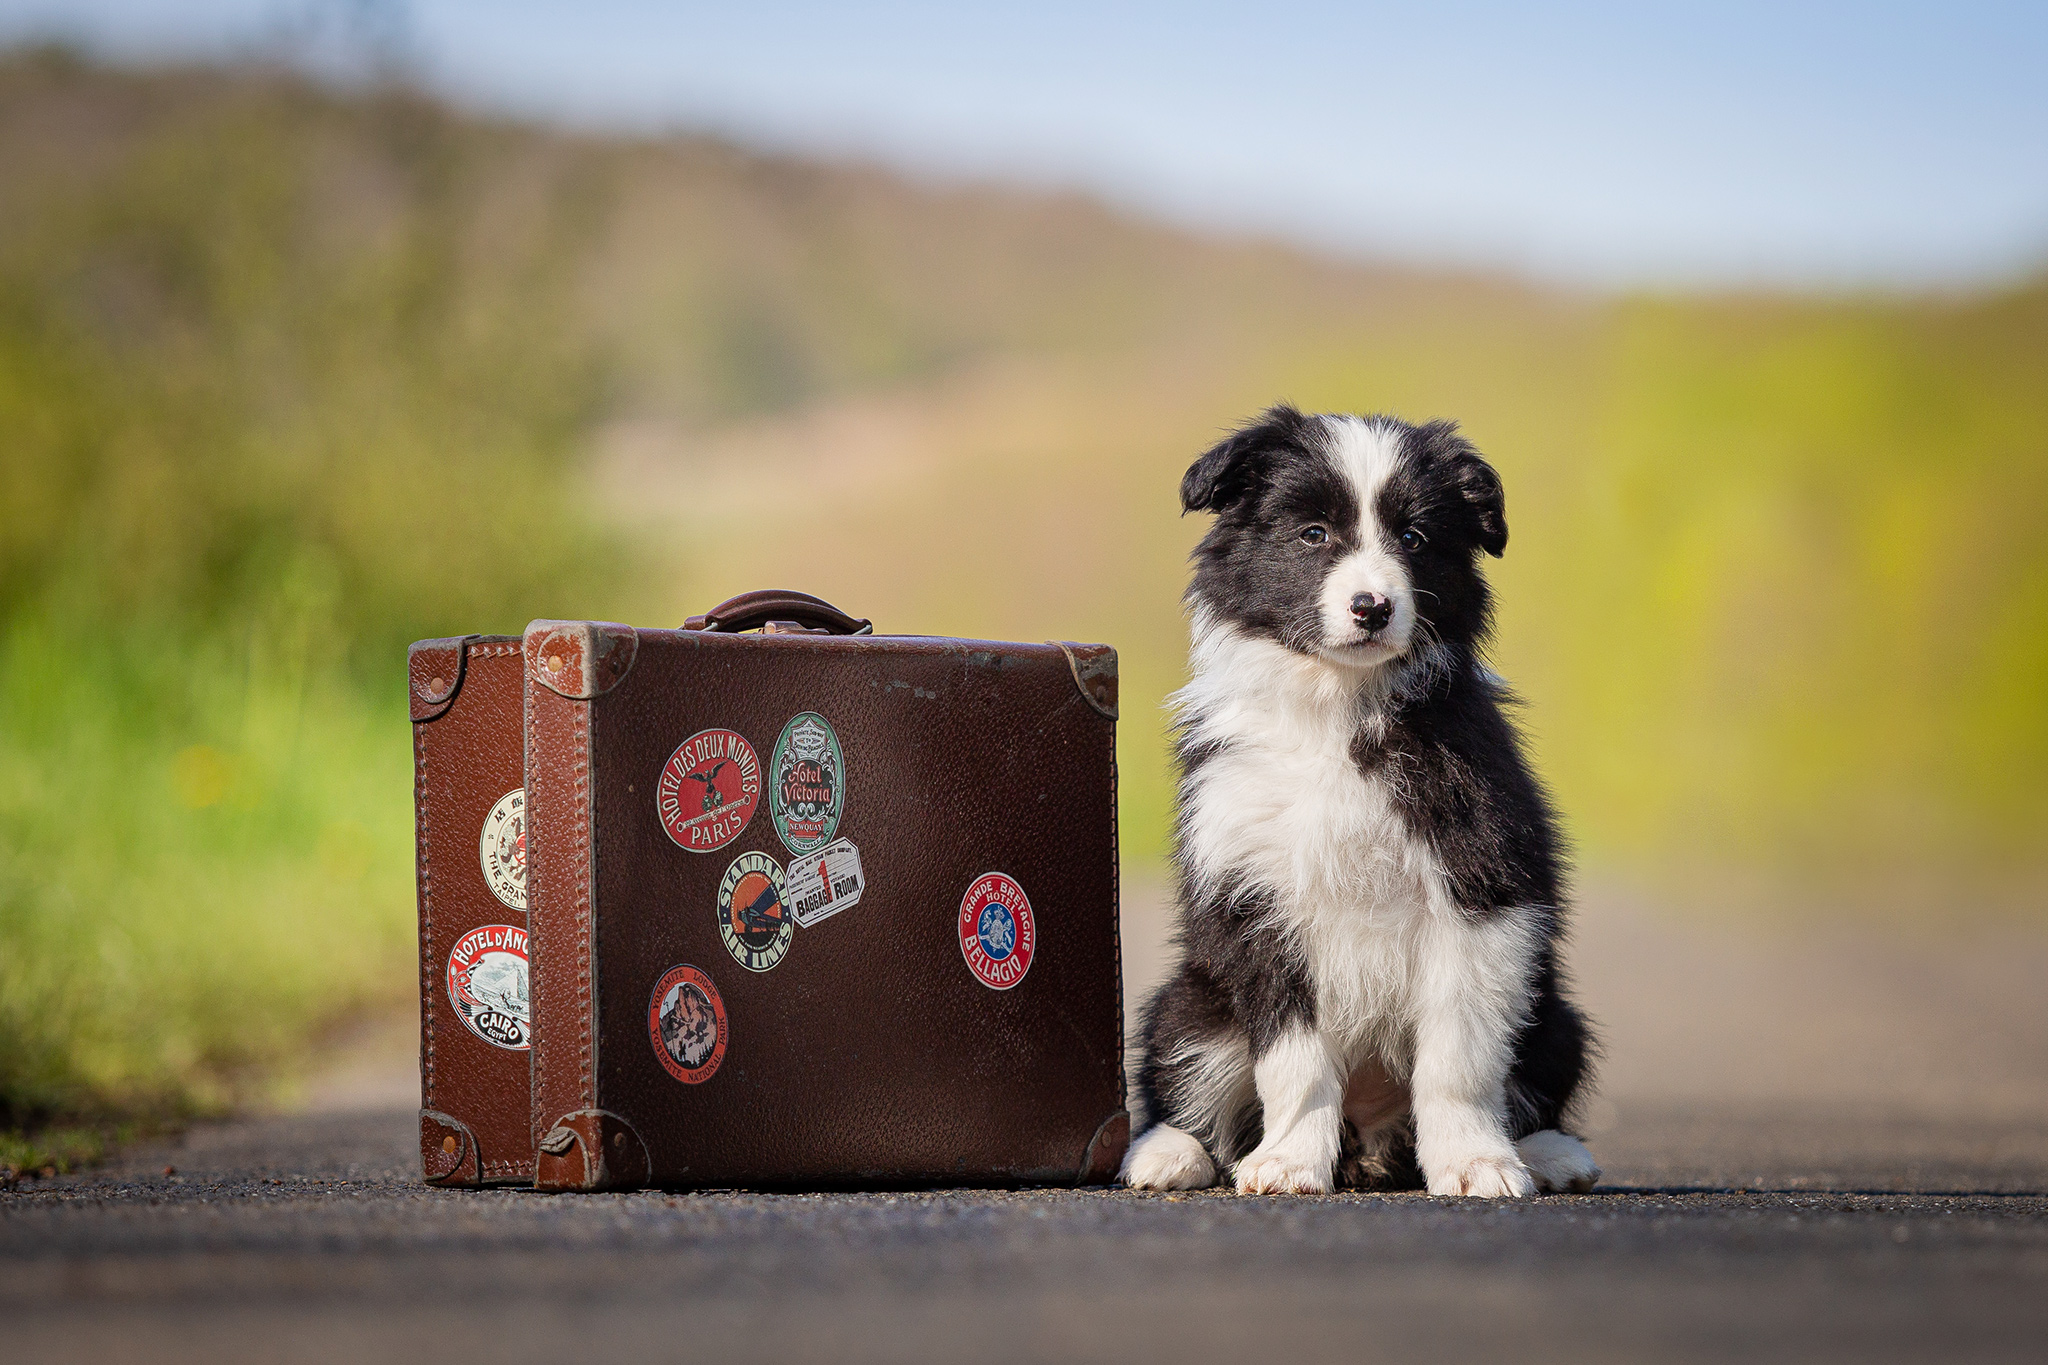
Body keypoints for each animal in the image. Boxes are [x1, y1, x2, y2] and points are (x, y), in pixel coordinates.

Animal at [1122, 405, 1597, 1195]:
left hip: (1554, 1016)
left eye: (1414, 538)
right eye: (1314, 534)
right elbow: (1294, 1060)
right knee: (1193, 1073)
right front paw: (1287, 1162)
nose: (1372, 607)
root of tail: (1370, 1142)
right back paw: (1169, 1151)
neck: (1337, 705)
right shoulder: (1255, 895)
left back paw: (1550, 1153)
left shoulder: (1483, 886)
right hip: (1189, 1005)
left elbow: (1459, 1057)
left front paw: (1475, 1162)